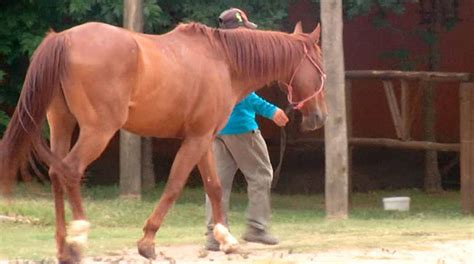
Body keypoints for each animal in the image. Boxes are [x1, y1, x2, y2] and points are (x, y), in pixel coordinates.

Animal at [0, 21, 326, 262]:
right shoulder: (195, 141)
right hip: (98, 131)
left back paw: (62, 246)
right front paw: (147, 241)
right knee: (69, 170)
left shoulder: (203, 139)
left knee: (55, 174)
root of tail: (63, 38)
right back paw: (78, 236)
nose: (319, 117)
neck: (224, 61)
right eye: (320, 65)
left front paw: (225, 238)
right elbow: (174, 186)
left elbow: (214, 187)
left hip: (61, 124)